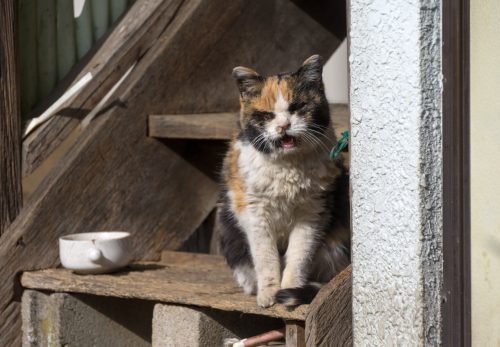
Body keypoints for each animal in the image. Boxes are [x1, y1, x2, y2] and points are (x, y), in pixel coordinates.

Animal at [219, 54, 348, 308]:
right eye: (267, 115)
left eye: (297, 107)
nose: (284, 126)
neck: (287, 168)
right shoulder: (255, 214)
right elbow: (266, 258)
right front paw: (269, 294)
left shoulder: (312, 212)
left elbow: (298, 255)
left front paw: (290, 289)